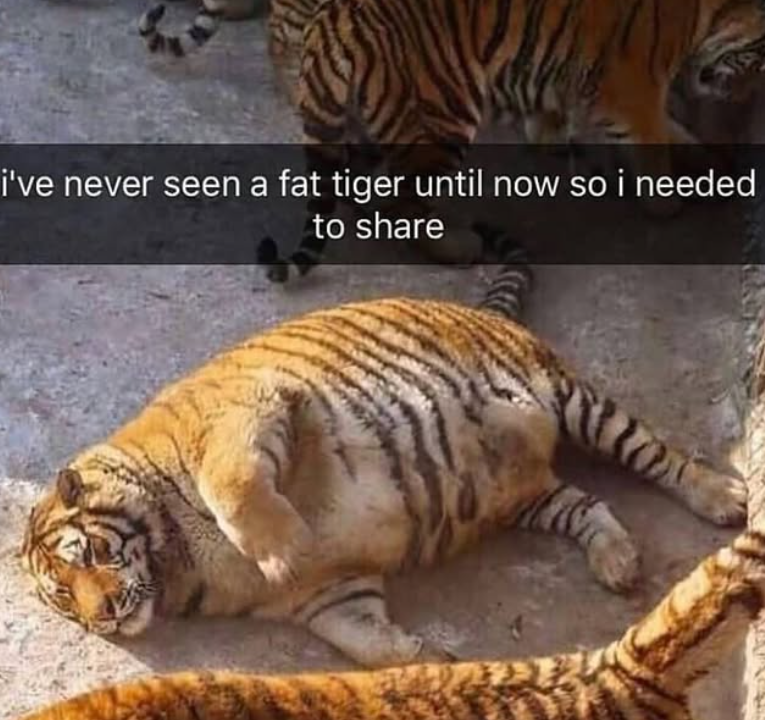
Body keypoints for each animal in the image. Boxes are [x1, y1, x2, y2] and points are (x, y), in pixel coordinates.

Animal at [22, 254, 745, 669]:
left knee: (658, 457)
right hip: (527, 497)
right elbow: (362, 643)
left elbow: (234, 488)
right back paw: (617, 563)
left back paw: (724, 497)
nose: (103, 617)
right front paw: (423, 656)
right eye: (64, 596)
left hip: (574, 401)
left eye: (88, 553)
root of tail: (471, 306)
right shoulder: (327, 596)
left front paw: (284, 546)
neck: (175, 563)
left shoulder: (248, 414)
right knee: (587, 504)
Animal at [256, 0, 765, 282]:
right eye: (761, 56)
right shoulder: (630, 85)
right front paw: (668, 202)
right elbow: (653, 140)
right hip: (443, 112)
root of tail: (332, 24)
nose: (745, 96)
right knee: (400, 200)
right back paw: (460, 247)